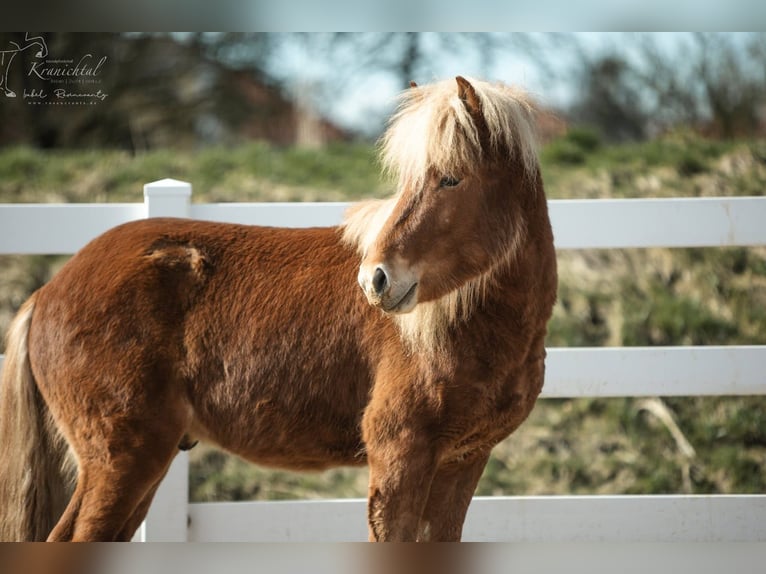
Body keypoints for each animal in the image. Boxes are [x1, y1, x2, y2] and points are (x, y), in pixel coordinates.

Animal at [0, 76, 557, 542]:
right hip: (122, 461)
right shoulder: (400, 458)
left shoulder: (462, 463)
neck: (464, 329)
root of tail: (48, 292)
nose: (374, 279)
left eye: (452, 180)